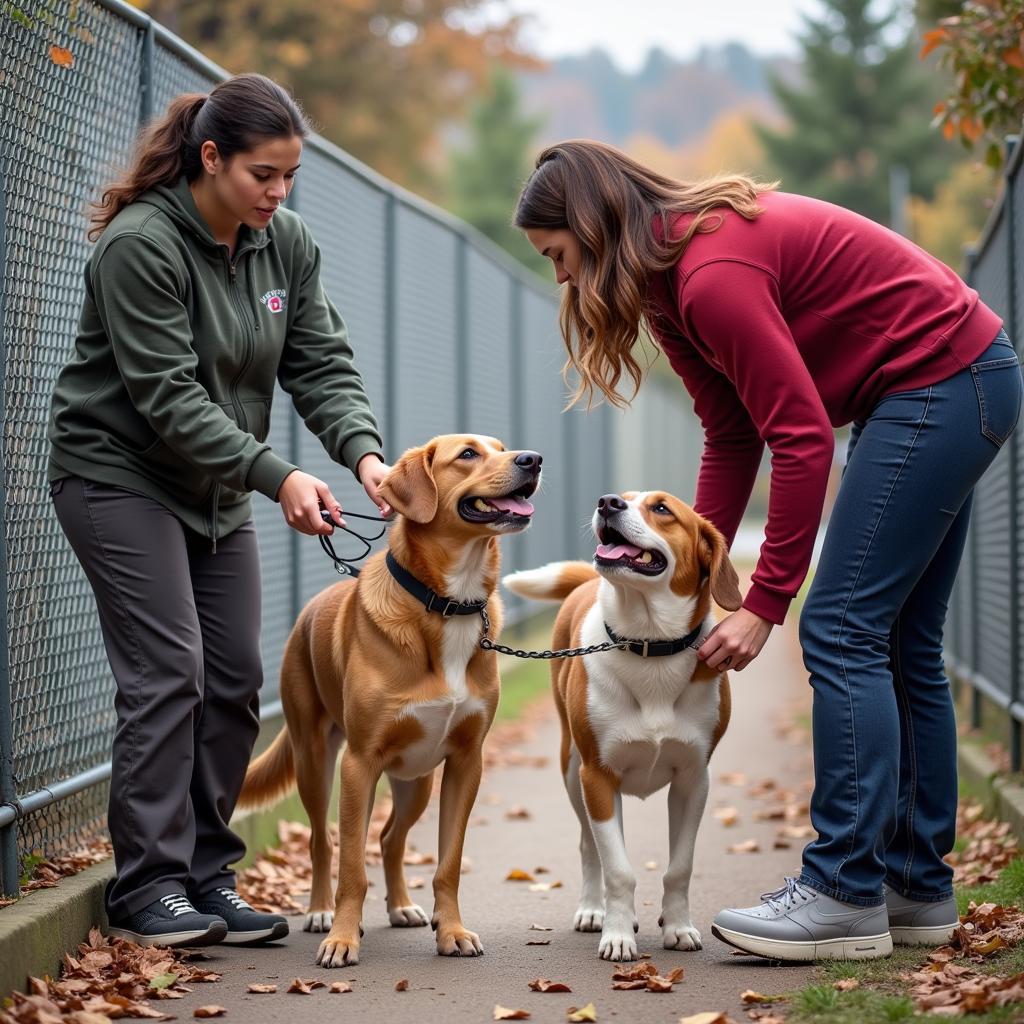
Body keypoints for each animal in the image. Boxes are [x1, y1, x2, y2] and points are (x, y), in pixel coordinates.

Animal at [240, 436, 544, 962]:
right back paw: (320, 912)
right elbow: (351, 868)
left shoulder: (466, 762)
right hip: (317, 761)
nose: (533, 460)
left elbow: (447, 862)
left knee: (388, 838)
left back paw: (401, 905)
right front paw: (343, 937)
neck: (448, 605)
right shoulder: (359, 762)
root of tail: (306, 612)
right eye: (468, 454)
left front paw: (452, 930)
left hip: (415, 777)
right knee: (324, 841)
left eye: (502, 448)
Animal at [501, 491, 737, 962]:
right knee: (590, 846)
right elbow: (618, 869)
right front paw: (617, 935)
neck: (649, 643)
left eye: (662, 509)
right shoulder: (598, 776)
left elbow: (679, 867)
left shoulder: (693, 780)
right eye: (623, 499)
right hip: (574, 773)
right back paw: (597, 910)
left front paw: (678, 928)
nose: (607, 502)